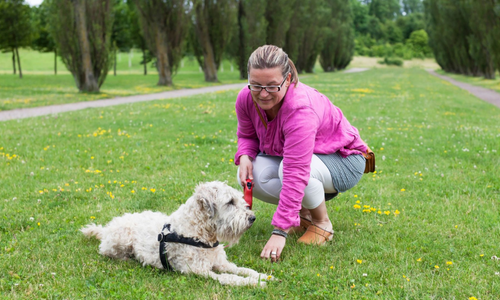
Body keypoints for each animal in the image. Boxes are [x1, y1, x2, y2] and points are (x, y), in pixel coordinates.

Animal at [80, 180, 272, 286]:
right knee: (106, 252)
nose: (252, 218)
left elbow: (242, 269)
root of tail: (106, 229)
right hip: (120, 240)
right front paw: (254, 283)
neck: (200, 232)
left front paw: (263, 276)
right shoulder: (199, 271)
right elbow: (229, 278)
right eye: (230, 202)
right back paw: (129, 258)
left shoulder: (221, 263)